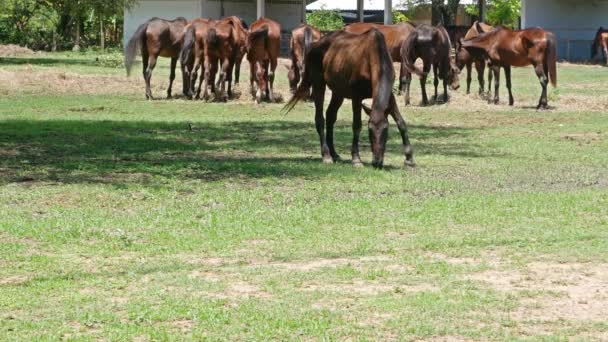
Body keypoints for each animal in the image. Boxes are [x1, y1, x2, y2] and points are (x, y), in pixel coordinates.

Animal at [284, 28, 416, 169]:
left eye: (385, 130)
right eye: (370, 131)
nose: (377, 162)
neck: (373, 57)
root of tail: (314, 45)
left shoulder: (389, 97)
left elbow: (401, 122)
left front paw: (409, 159)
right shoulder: (356, 97)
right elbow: (357, 126)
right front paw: (356, 159)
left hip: (338, 92)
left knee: (330, 116)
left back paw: (334, 153)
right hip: (319, 84)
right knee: (320, 118)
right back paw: (326, 155)